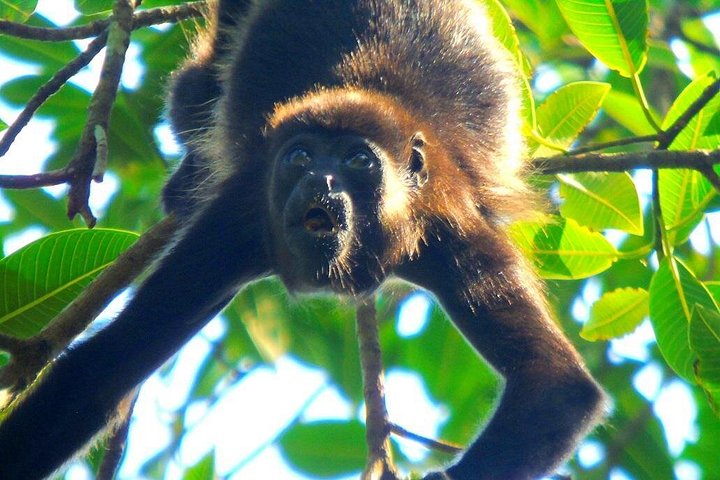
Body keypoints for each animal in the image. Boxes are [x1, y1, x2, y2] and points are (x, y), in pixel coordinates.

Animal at [0, 1, 607, 479]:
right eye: (300, 158)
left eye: (357, 161)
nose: (321, 181)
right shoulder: (237, 222)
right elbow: (104, 369)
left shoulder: (450, 230)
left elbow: (556, 387)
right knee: (195, 91)